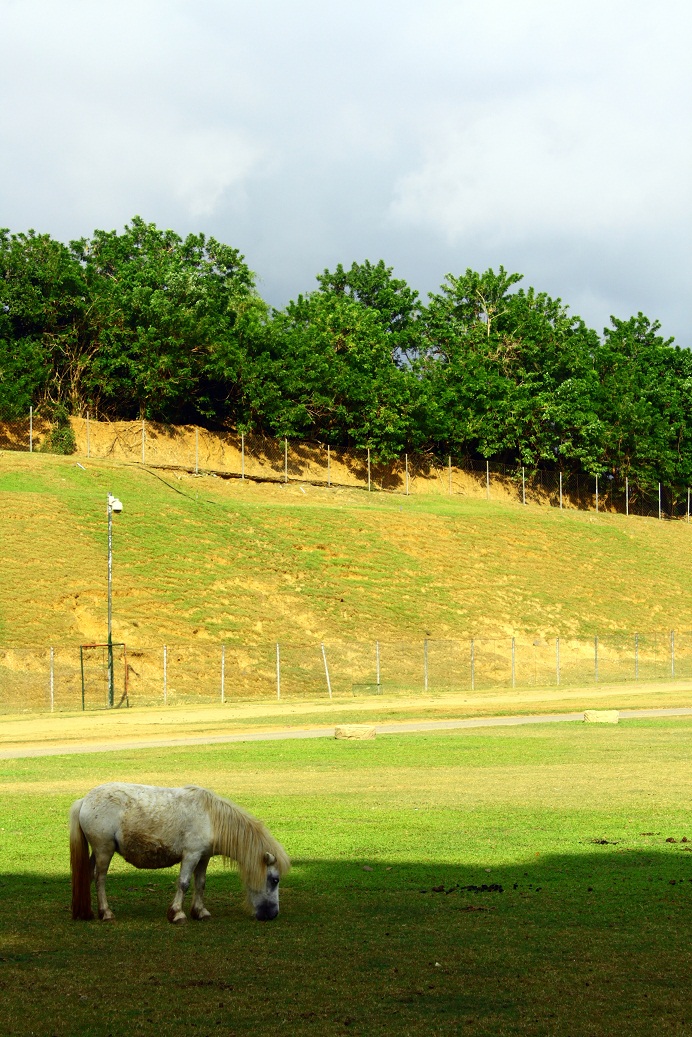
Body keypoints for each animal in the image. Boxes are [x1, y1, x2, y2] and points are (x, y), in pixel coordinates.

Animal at [70, 782, 290, 923]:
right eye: (275, 880)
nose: (273, 914)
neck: (211, 819)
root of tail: (84, 800)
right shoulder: (191, 855)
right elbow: (184, 883)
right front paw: (177, 914)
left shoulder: (203, 857)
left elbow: (201, 884)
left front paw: (200, 912)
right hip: (104, 850)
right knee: (100, 879)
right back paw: (106, 913)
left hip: (97, 852)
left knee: (89, 876)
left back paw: (88, 912)